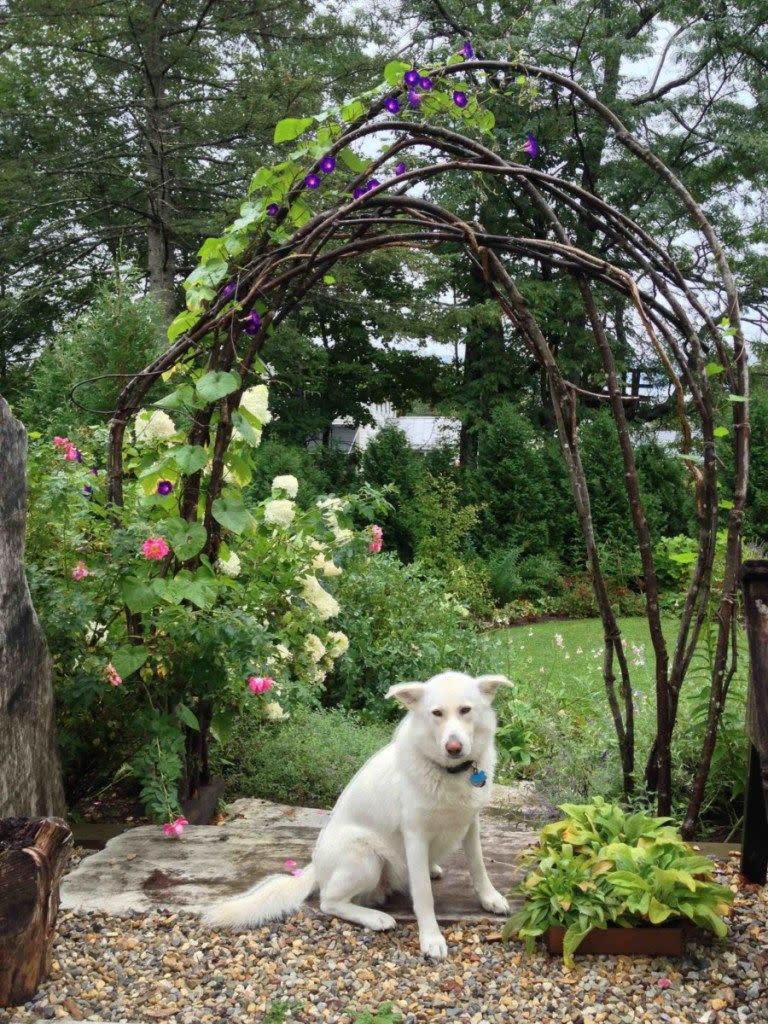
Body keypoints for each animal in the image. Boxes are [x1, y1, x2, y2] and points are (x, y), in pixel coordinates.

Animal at [207, 671, 514, 958]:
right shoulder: (415, 836)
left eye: (465, 710)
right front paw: (431, 938)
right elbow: (424, 895)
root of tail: (315, 867)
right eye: (436, 713)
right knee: (329, 901)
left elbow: (478, 866)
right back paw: (376, 918)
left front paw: (490, 898)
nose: (454, 748)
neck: (450, 772)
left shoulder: (470, 824)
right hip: (365, 857)